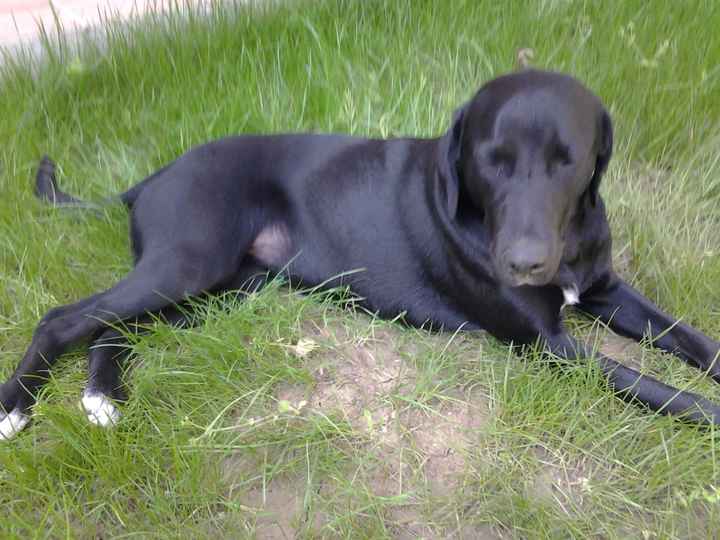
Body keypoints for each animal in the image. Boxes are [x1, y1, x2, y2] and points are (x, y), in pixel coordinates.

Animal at [1, 69, 720, 438]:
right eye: (491, 160)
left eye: (568, 160)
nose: (524, 264)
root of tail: (150, 177)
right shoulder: (548, 343)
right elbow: (653, 385)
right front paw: (710, 413)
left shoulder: (604, 292)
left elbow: (690, 340)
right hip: (188, 264)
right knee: (66, 317)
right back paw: (16, 407)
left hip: (223, 289)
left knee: (112, 327)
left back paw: (102, 396)